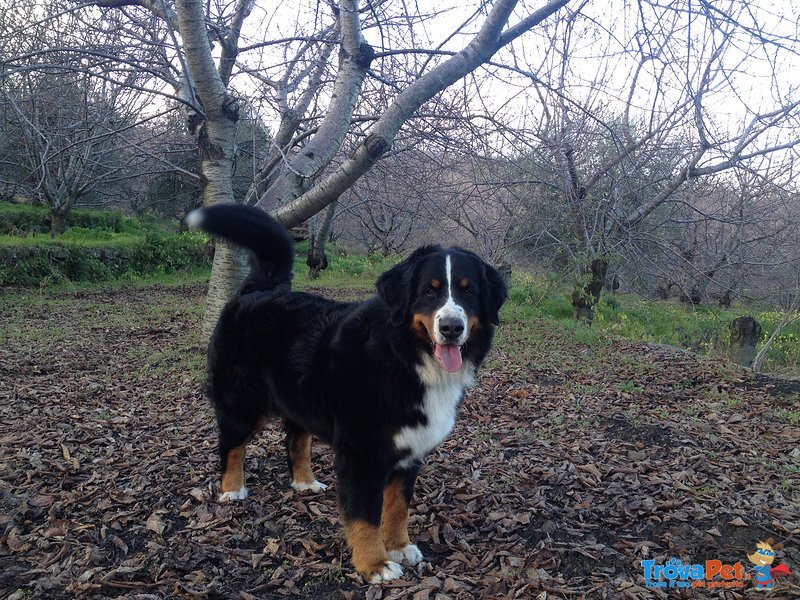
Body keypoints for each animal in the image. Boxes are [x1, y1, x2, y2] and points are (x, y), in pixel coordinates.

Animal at [188, 205, 506, 580]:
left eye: (468, 292)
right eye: (430, 292)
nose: (452, 327)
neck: (403, 356)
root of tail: (260, 288)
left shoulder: (409, 452)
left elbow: (397, 508)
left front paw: (399, 547)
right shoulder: (362, 454)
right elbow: (365, 516)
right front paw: (374, 563)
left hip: (300, 399)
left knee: (295, 440)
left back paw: (305, 482)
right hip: (241, 403)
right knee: (232, 446)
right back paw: (232, 489)